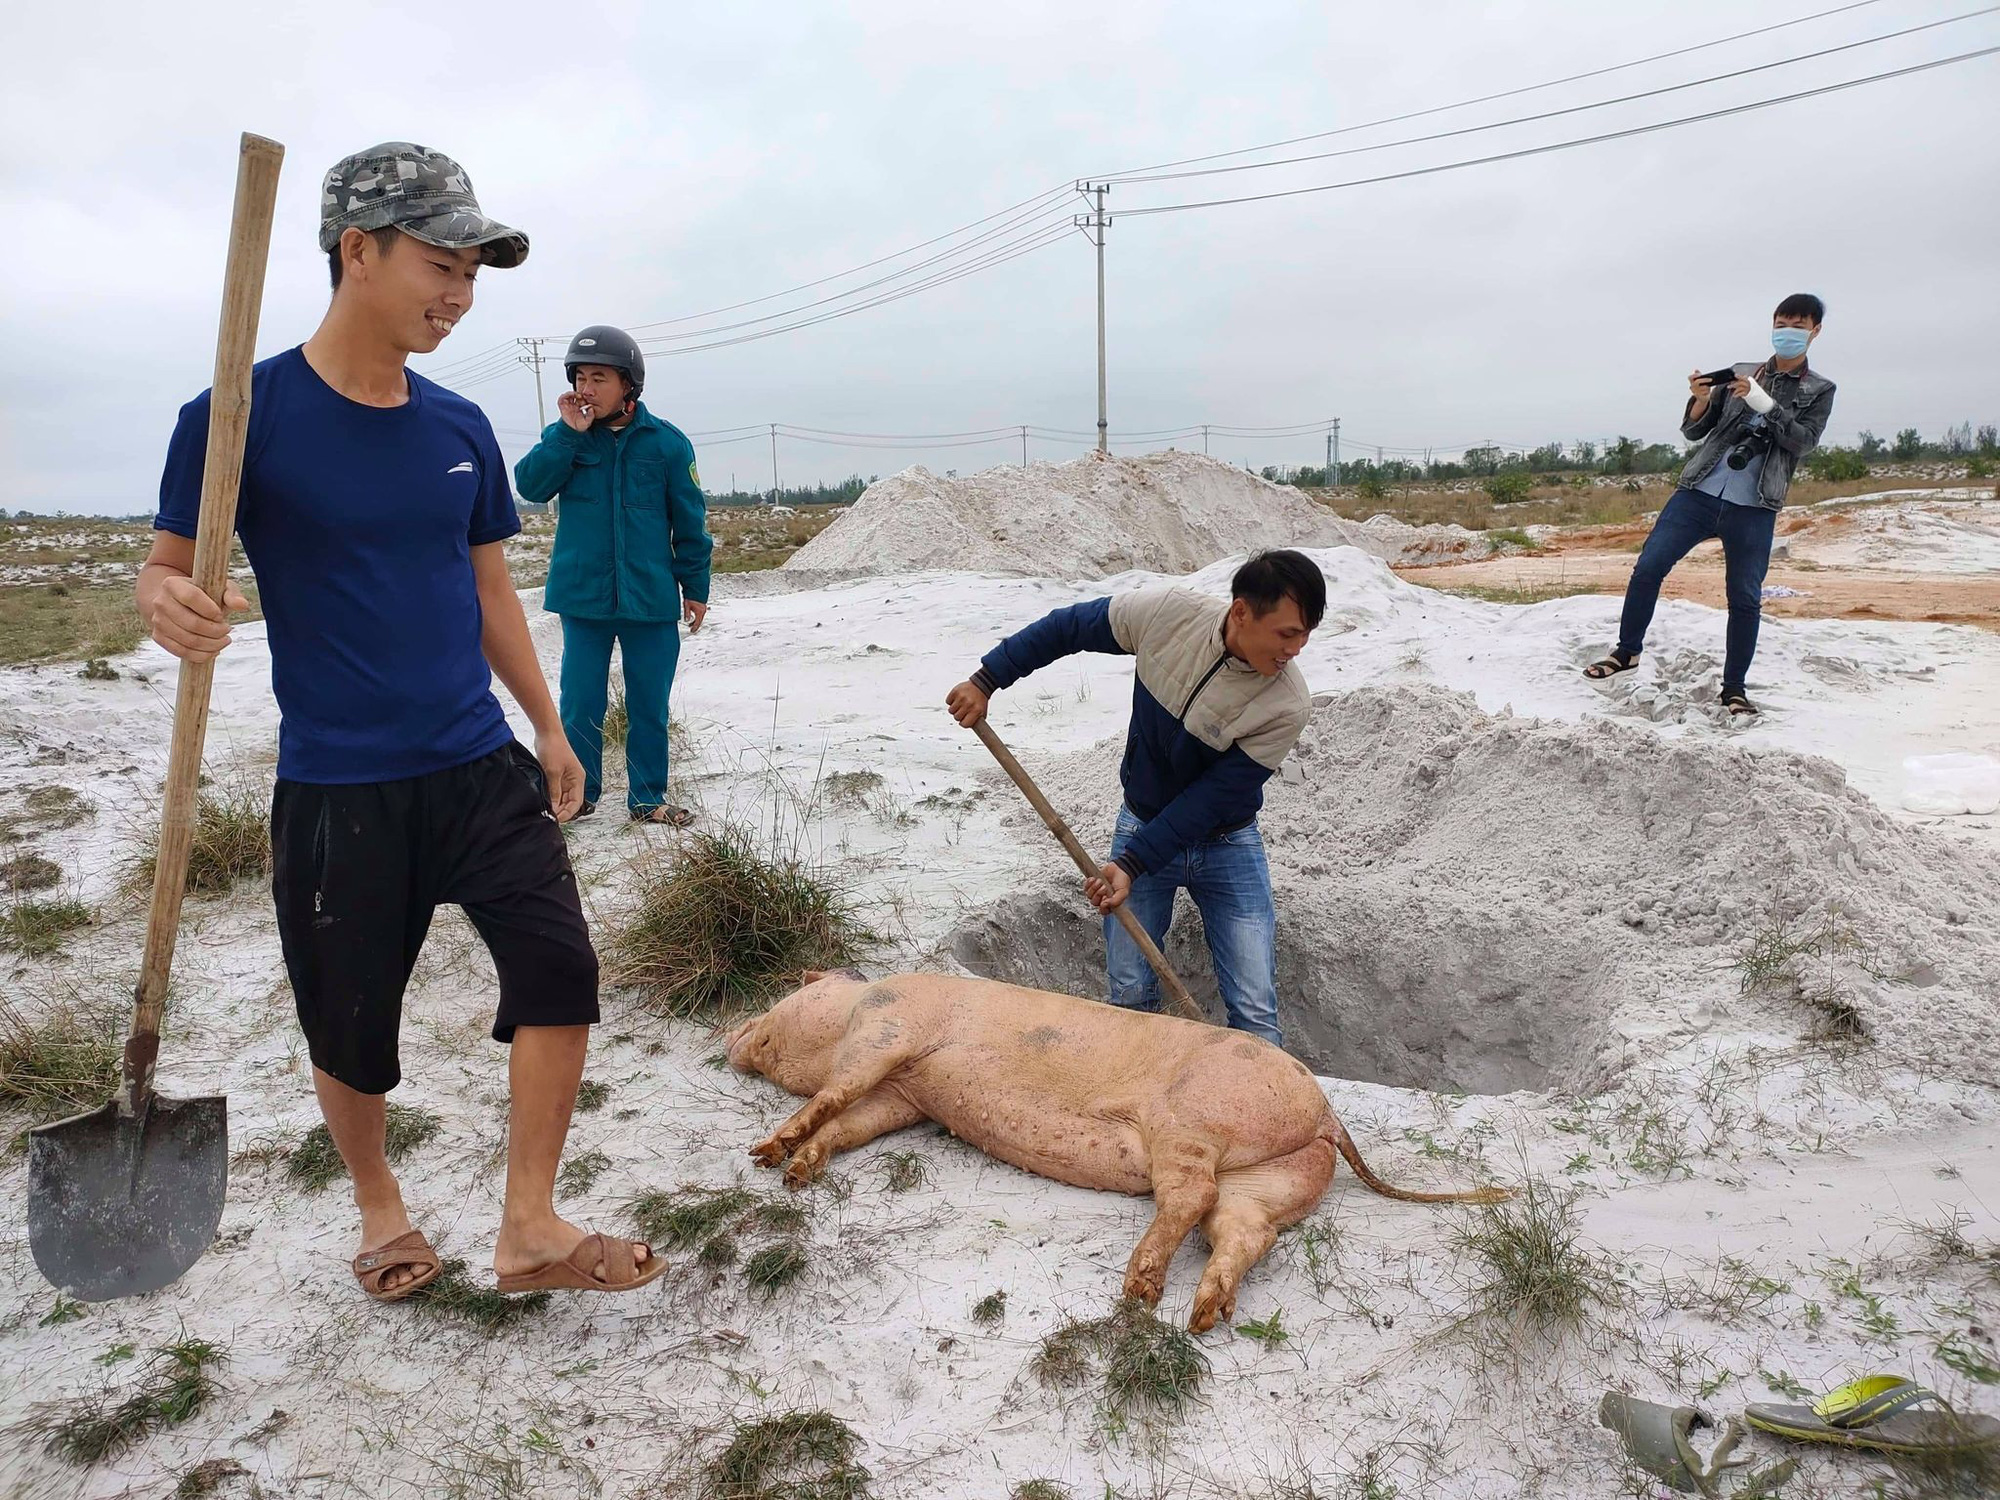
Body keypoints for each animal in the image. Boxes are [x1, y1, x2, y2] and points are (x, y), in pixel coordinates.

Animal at [732, 976, 1504, 1336]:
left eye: (792, 993)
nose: (731, 1031)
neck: (859, 1001)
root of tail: (1325, 1112)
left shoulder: (888, 1032)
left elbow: (832, 1095)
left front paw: (766, 1155)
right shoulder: (906, 1098)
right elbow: (850, 1125)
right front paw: (797, 1174)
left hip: (1191, 1123)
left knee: (1190, 1198)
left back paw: (1138, 1293)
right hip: (1278, 1173)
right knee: (1246, 1231)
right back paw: (1201, 1316)